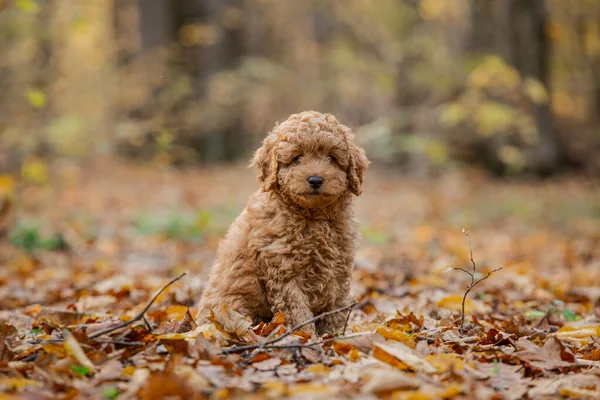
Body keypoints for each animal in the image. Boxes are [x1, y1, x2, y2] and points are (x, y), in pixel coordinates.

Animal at [199, 109, 368, 334]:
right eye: (297, 157)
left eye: (331, 158)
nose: (315, 180)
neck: (313, 216)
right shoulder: (284, 270)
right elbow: (298, 312)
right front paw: (307, 336)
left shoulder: (339, 267)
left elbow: (336, 307)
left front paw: (333, 335)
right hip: (233, 306)